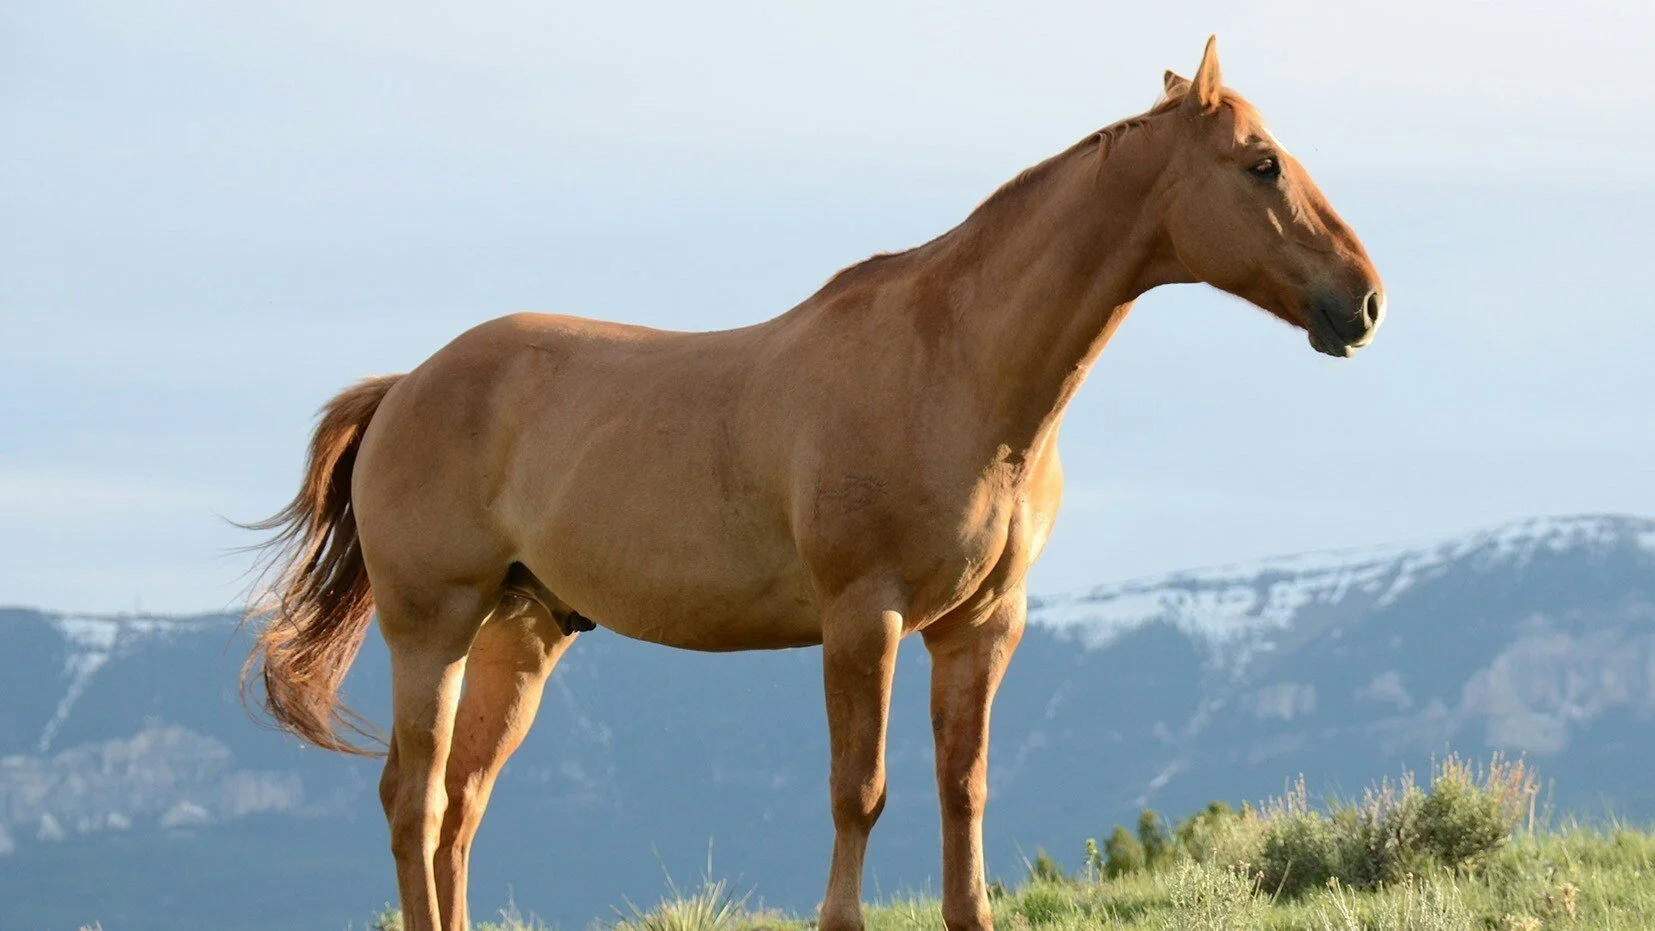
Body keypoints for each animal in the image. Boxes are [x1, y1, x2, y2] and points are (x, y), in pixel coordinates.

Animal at [241, 36, 1383, 931]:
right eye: (1261, 164)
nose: (1363, 301)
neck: (954, 367)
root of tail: (405, 385)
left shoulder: (982, 625)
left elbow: (962, 787)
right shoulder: (862, 616)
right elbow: (858, 791)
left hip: (519, 634)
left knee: (461, 807)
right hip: (432, 624)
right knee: (415, 800)